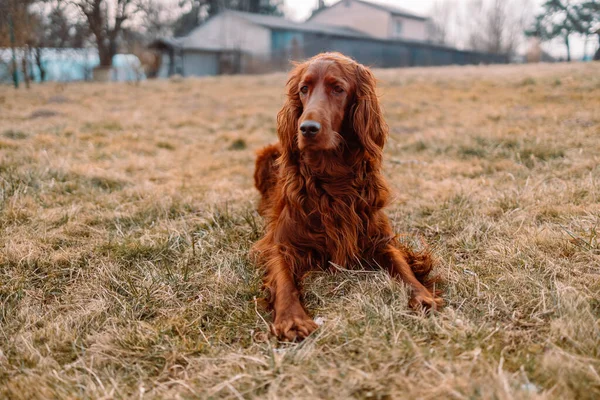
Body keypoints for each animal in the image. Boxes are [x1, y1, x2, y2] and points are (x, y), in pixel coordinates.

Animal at [251, 52, 442, 340]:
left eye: (338, 89)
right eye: (303, 89)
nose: (307, 128)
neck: (332, 176)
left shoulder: (377, 237)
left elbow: (401, 265)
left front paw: (421, 294)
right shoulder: (281, 243)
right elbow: (284, 279)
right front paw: (292, 318)